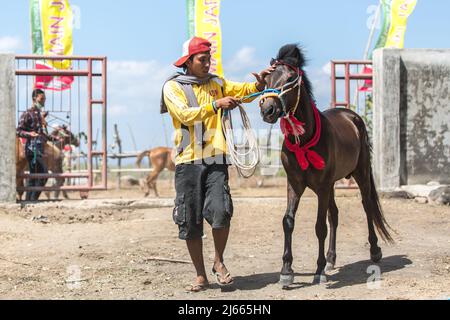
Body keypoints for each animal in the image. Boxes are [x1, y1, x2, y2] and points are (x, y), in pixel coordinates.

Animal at [260, 43, 394, 286]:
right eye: (266, 78)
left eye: (291, 77)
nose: (268, 110)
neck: (304, 141)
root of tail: (352, 116)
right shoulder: (294, 184)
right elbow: (288, 221)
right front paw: (286, 270)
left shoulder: (322, 187)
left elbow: (319, 226)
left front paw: (319, 270)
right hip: (332, 185)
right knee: (335, 214)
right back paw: (332, 258)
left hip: (360, 174)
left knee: (367, 206)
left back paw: (374, 251)